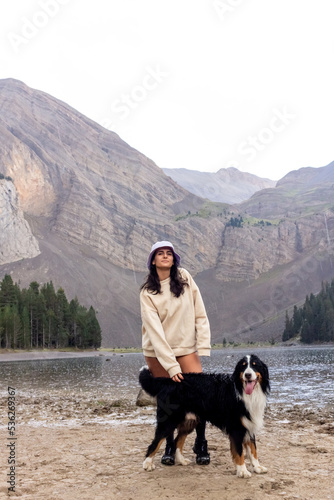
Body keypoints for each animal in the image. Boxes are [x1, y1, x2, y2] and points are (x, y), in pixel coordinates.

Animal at [140, 352, 270, 476]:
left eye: (255, 365)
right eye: (243, 366)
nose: (247, 375)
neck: (242, 391)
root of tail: (169, 382)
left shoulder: (249, 424)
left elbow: (253, 450)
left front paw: (257, 467)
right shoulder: (236, 428)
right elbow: (239, 452)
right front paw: (242, 471)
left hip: (189, 421)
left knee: (177, 441)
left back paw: (181, 460)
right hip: (168, 421)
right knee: (155, 443)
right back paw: (147, 464)